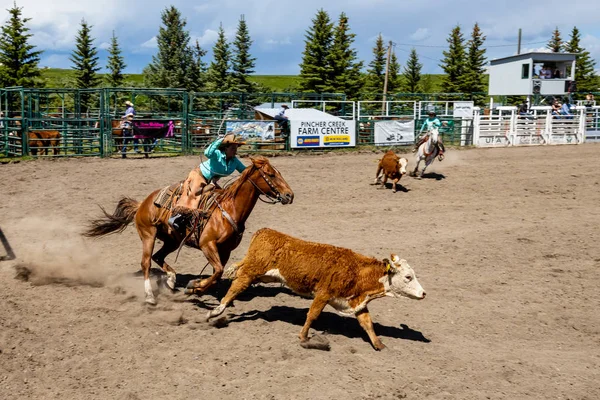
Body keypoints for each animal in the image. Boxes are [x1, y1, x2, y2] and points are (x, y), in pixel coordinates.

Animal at [83, 155, 294, 304]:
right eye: (271, 174)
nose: (289, 195)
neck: (229, 210)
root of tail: (142, 203)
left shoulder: (224, 250)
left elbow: (217, 274)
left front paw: (196, 288)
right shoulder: (207, 244)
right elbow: (217, 271)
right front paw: (195, 286)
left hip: (172, 240)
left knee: (158, 257)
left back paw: (171, 280)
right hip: (148, 235)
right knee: (146, 263)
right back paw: (150, 296)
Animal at [209, 228, 424, 350]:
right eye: (408, 276)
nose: (423, 293)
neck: (357, 270)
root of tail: (264, 231)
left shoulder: (358, 302)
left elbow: (367, 324)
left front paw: (379, 345)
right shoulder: (323, 294)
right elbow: (312, 315)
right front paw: (304, 337)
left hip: (261, 273)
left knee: (237, 276)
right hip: (253, 270)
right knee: (236, 286)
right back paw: (216, 311)